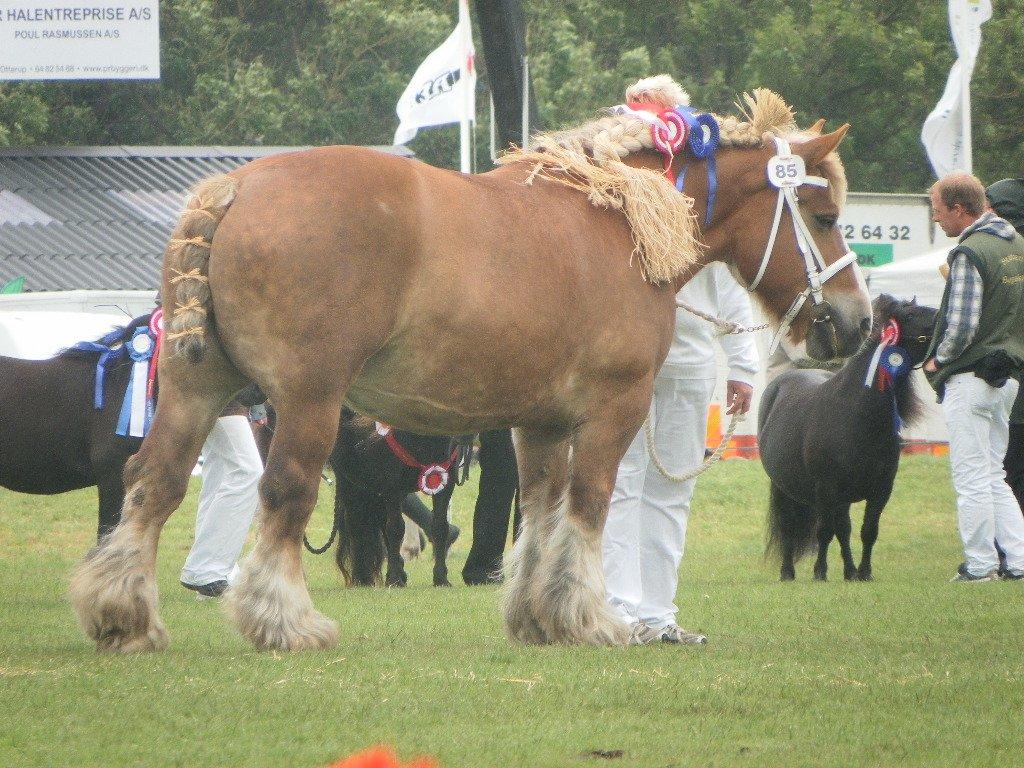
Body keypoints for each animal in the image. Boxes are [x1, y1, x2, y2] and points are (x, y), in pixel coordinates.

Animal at [74, 76, 872, 655]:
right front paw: (590, 618)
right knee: (284, 492)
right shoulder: (614, 408)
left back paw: (124, 616)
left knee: (153, 483)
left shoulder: (541, 423)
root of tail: (234, 188)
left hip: (194, 391)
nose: (857, 322)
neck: (624, 217)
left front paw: (539, 617)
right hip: (309, 401)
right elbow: (588, 507)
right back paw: (286, 622)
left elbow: (543, 512)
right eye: (827, 216)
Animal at [761, 296, 937, 581]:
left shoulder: (880, 491)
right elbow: (824, 532)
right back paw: (787, 572)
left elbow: (867, 531)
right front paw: (820, 573)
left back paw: (850, 571)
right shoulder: (826, 490)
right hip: (784, 488)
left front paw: (864, 573)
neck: (857, 417)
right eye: (910, 316)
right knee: (789, 526)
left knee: (843, 530)